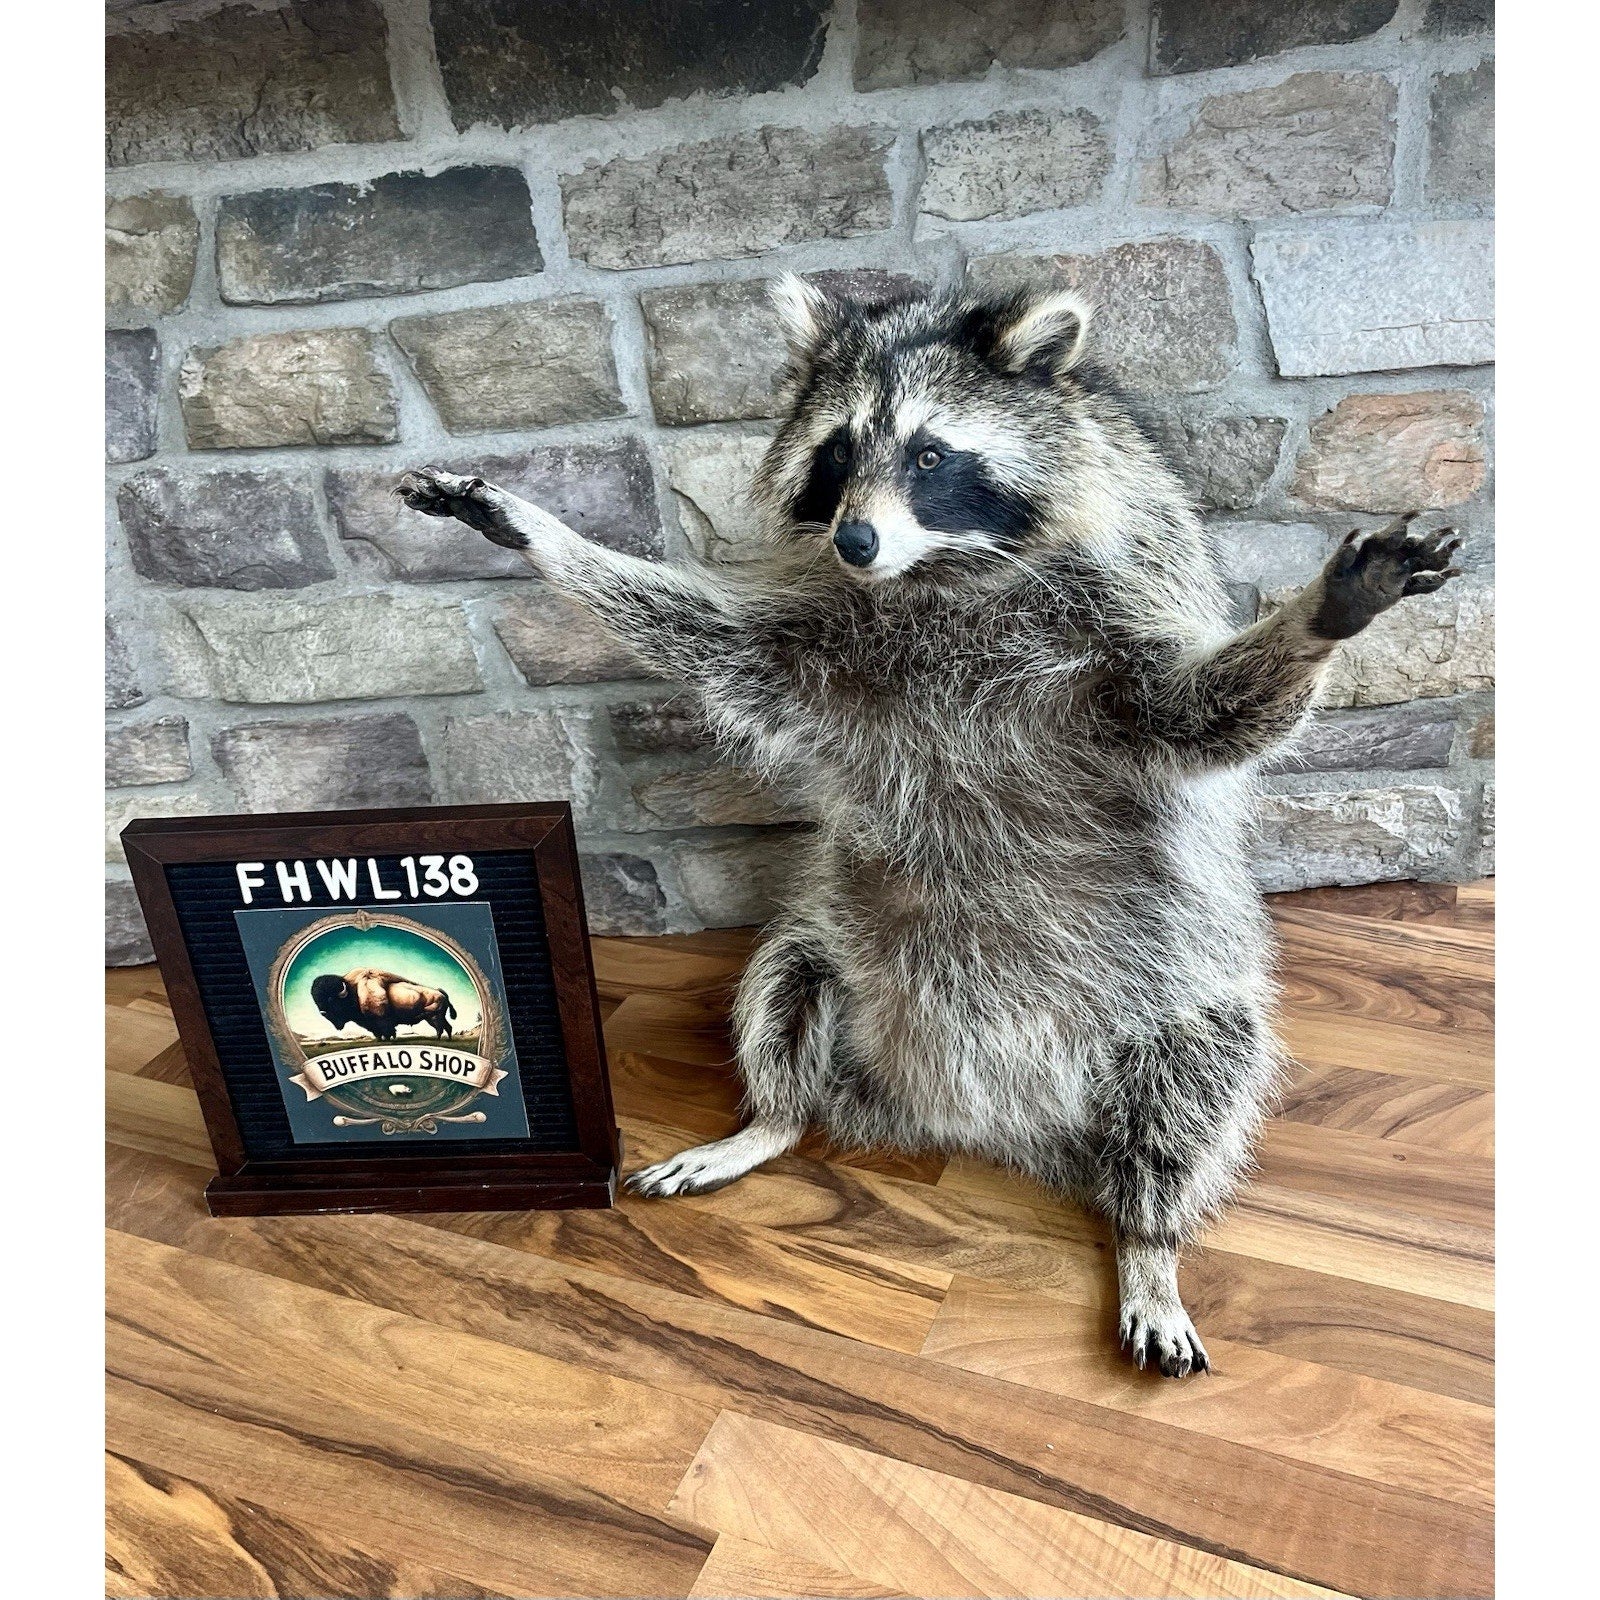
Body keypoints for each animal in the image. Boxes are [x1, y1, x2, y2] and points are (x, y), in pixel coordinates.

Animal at [398, 276, 1458, 1377]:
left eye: (930, 455)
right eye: (836, 452)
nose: (855, 541)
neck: (939, 575)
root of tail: (976, 1115)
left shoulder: (1115, 642)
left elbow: (1206, 714)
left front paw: (1323, 613)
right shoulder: (816, 644)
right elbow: (706, 637)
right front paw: (537, 532)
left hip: (1172, 995)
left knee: (1199, 1079)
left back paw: (1149, 1233)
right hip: (835, 950)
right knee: (779, 984)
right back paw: (770, 1120)